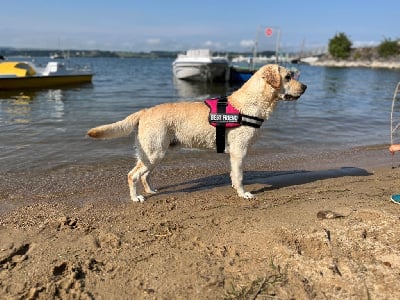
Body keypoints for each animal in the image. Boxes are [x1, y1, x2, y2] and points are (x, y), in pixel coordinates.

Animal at [86, 64, 306, 203]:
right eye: (288, 77)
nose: (305, 86)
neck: (251, 103)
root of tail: (145, 111)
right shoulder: (239, 151)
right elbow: (239, 175)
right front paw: (243, 194)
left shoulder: (236, 154)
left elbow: (233, 175)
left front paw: (236, 189)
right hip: (154, 152)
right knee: (132, 175)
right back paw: (136, 197)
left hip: (155, 153)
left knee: (144, 175)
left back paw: (150, 190)